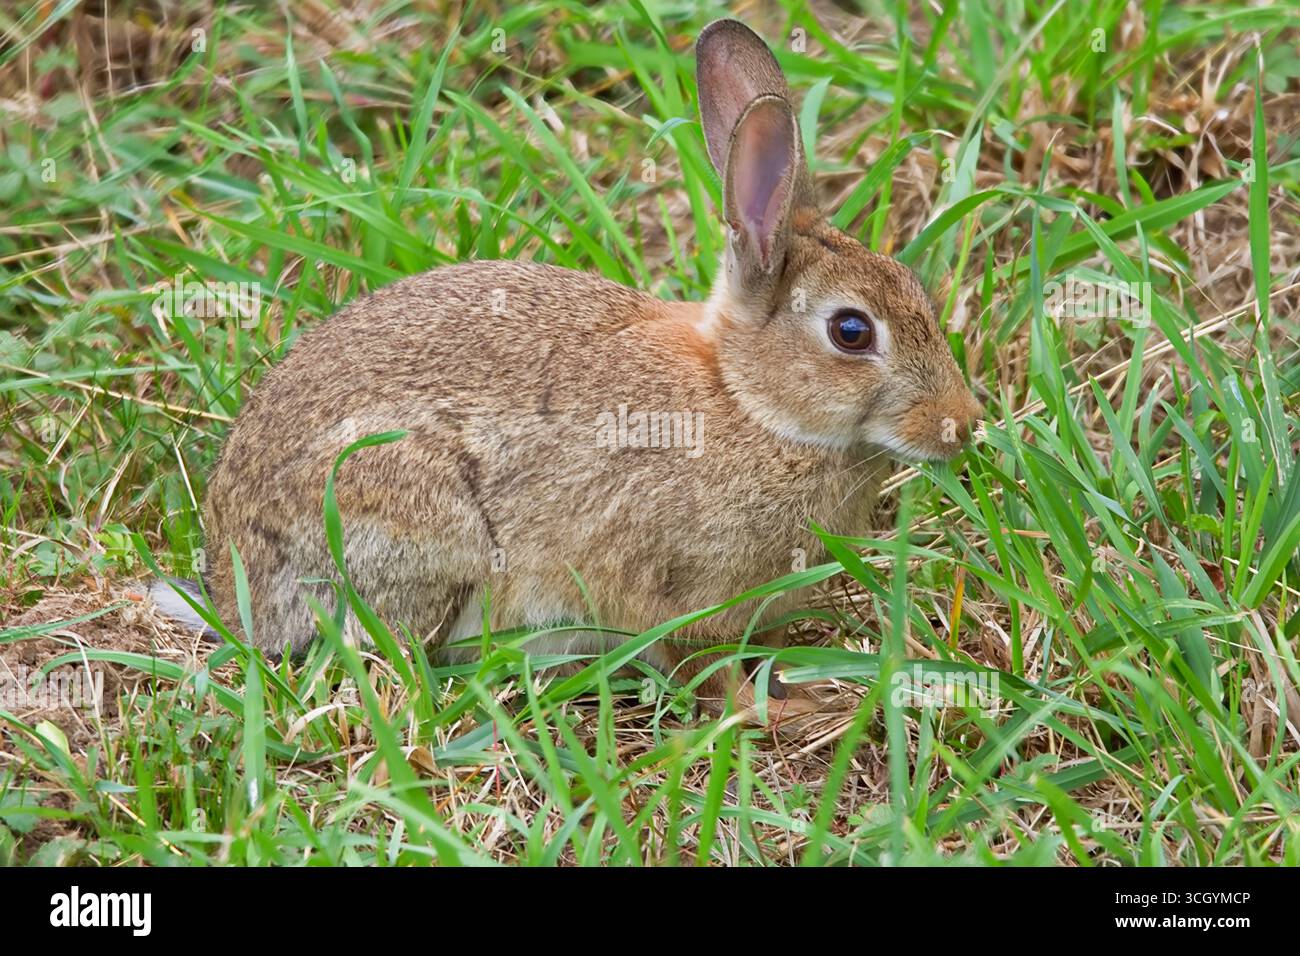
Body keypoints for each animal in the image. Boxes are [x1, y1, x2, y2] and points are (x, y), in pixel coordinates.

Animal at [151, 18, 982, 714]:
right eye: (852, 331)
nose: (962, 425)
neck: (750, 402)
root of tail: (237, 589)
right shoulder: (673, 592)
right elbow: (702, 668)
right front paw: (780, 712)